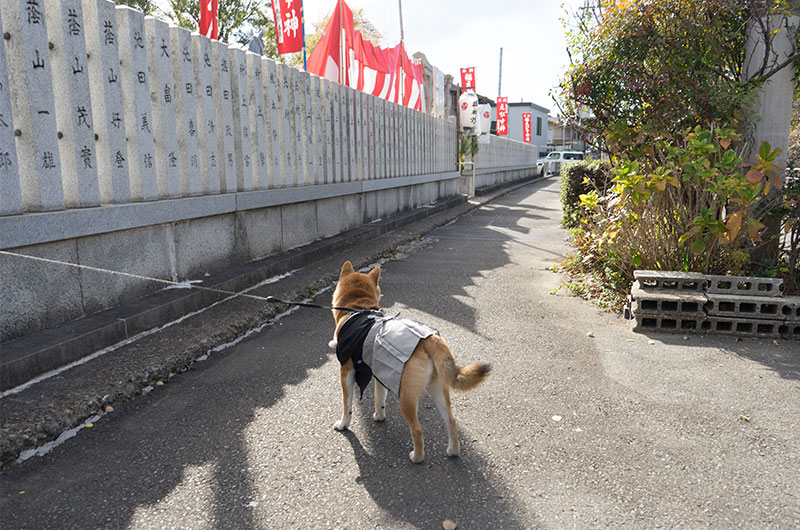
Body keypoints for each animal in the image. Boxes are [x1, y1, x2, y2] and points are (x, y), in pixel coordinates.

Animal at [328, 260, 490, 462]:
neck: (357, 307)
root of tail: (429, 339)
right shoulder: (380, 370)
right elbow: (379, 397)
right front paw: (379, 415)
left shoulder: (347, 371)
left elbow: (347, 404)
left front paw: (343, 424)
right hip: (438, 389)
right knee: (451, 421)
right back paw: (453, 451)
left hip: (405, 398)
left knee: (417, 430)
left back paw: (417, 457)